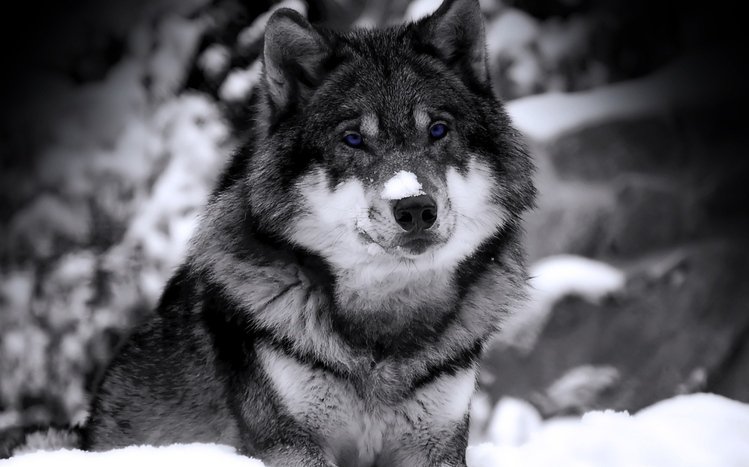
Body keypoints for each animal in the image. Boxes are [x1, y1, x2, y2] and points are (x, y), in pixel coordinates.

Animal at [77, 0, 536, 465]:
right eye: (353, 139)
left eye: (438, 130)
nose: (416, 208)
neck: (384, 326)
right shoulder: (291, 441)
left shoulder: (437, 443)